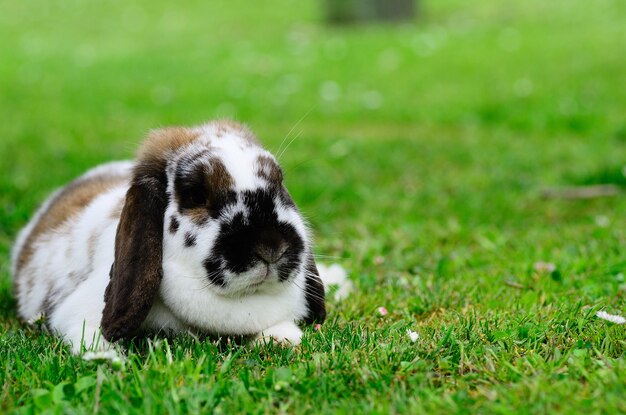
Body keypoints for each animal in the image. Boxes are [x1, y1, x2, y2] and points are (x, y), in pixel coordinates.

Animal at [11, 120, 326, 354]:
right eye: (196, 195)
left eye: (279, 184)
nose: (271, 248)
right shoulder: (77, 313)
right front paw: (110, 359)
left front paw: (283, 339)